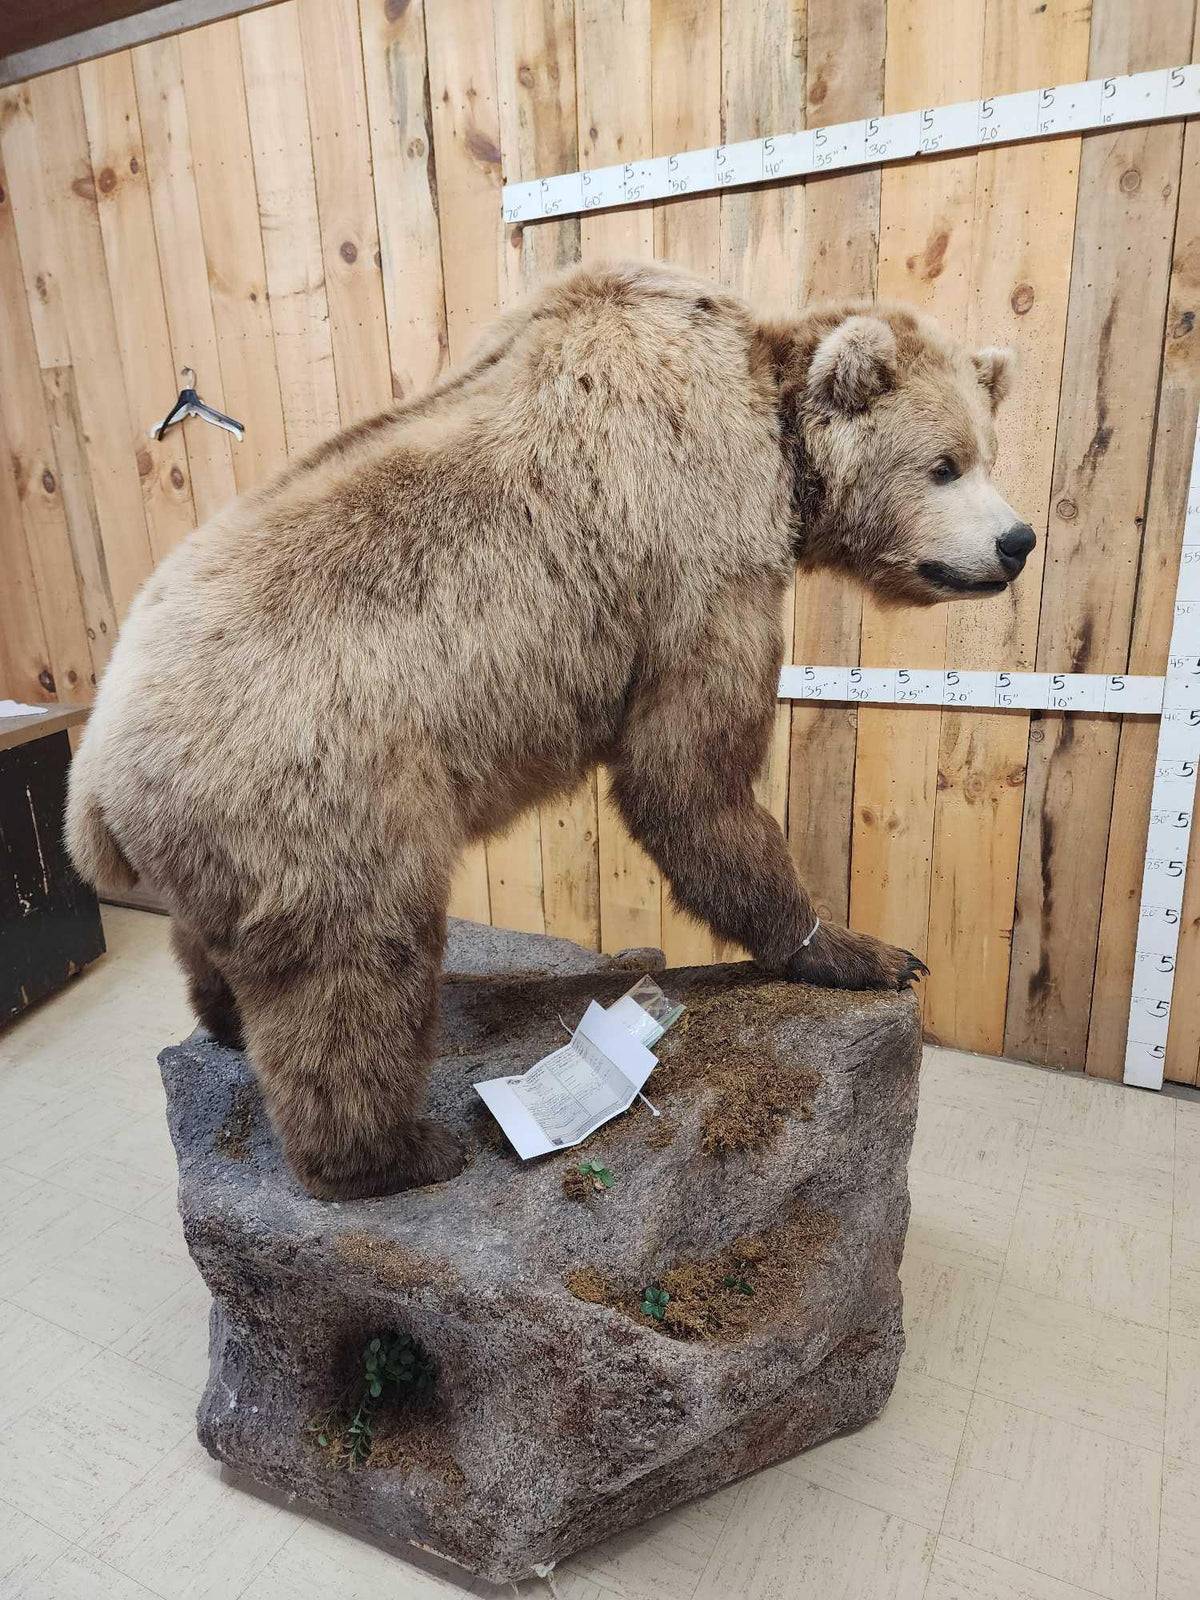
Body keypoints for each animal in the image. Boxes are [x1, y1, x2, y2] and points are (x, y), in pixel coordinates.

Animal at [66, 260, 1031, 1201]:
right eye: (943, 465)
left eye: (989, 451)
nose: (1016, 541)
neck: (770, 436)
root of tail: (92, 784)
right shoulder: (695, 549)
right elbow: (688, 771)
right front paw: (856, 948)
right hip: (316, 788)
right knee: (354, 967)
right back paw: (398, 1152)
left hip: (221, 837)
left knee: (218, 942)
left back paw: (227, 1022)